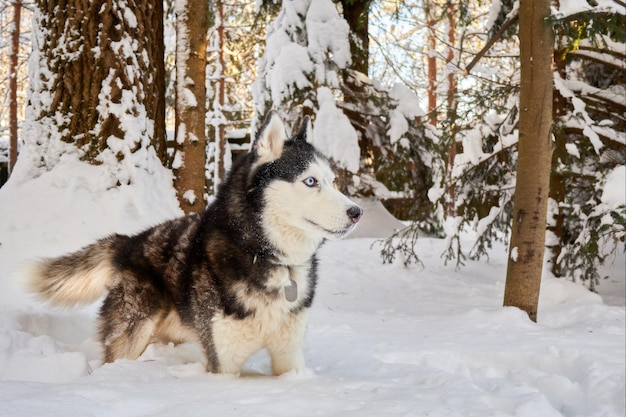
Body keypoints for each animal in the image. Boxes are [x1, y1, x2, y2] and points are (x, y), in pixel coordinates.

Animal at [28, 111, 360, 374]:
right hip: (132, 336)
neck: (262, 254)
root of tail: (129, 242)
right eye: (310, 181)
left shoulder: (289, 356)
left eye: (332, 182)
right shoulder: (224, 361)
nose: (356, 212)